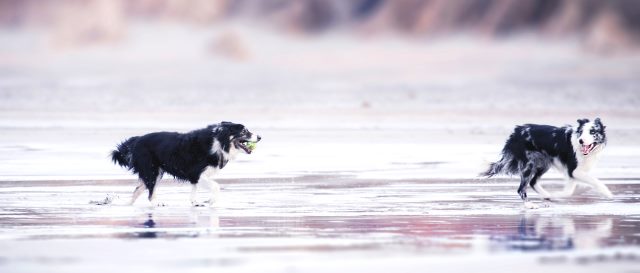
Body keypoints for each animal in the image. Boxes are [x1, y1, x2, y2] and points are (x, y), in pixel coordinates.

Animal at [112, 121, 260, 206]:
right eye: (244, 131)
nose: (259, 137)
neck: (219, 141)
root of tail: (136, 141)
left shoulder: (195, 177)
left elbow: (193, 192)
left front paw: (195, 203)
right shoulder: (197, 173)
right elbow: (216, 186)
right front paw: (211, 201)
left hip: (154, 172)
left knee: (138, 190)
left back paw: (127, 204)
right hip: (152, 171)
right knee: (150, 194)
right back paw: (157, 204)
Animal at [482, 117, 612, 208]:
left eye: (592, 132)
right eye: (581, 132)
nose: (581, 141)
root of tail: (515, 132)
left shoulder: (573, 173)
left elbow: (570, 190)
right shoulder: (573, 170)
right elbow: (594, 181)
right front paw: (607, 193)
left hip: (544, 164)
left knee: (533, 182)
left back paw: (546, 195)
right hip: (529, 165)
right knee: (521, 189)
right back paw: (530, 204)